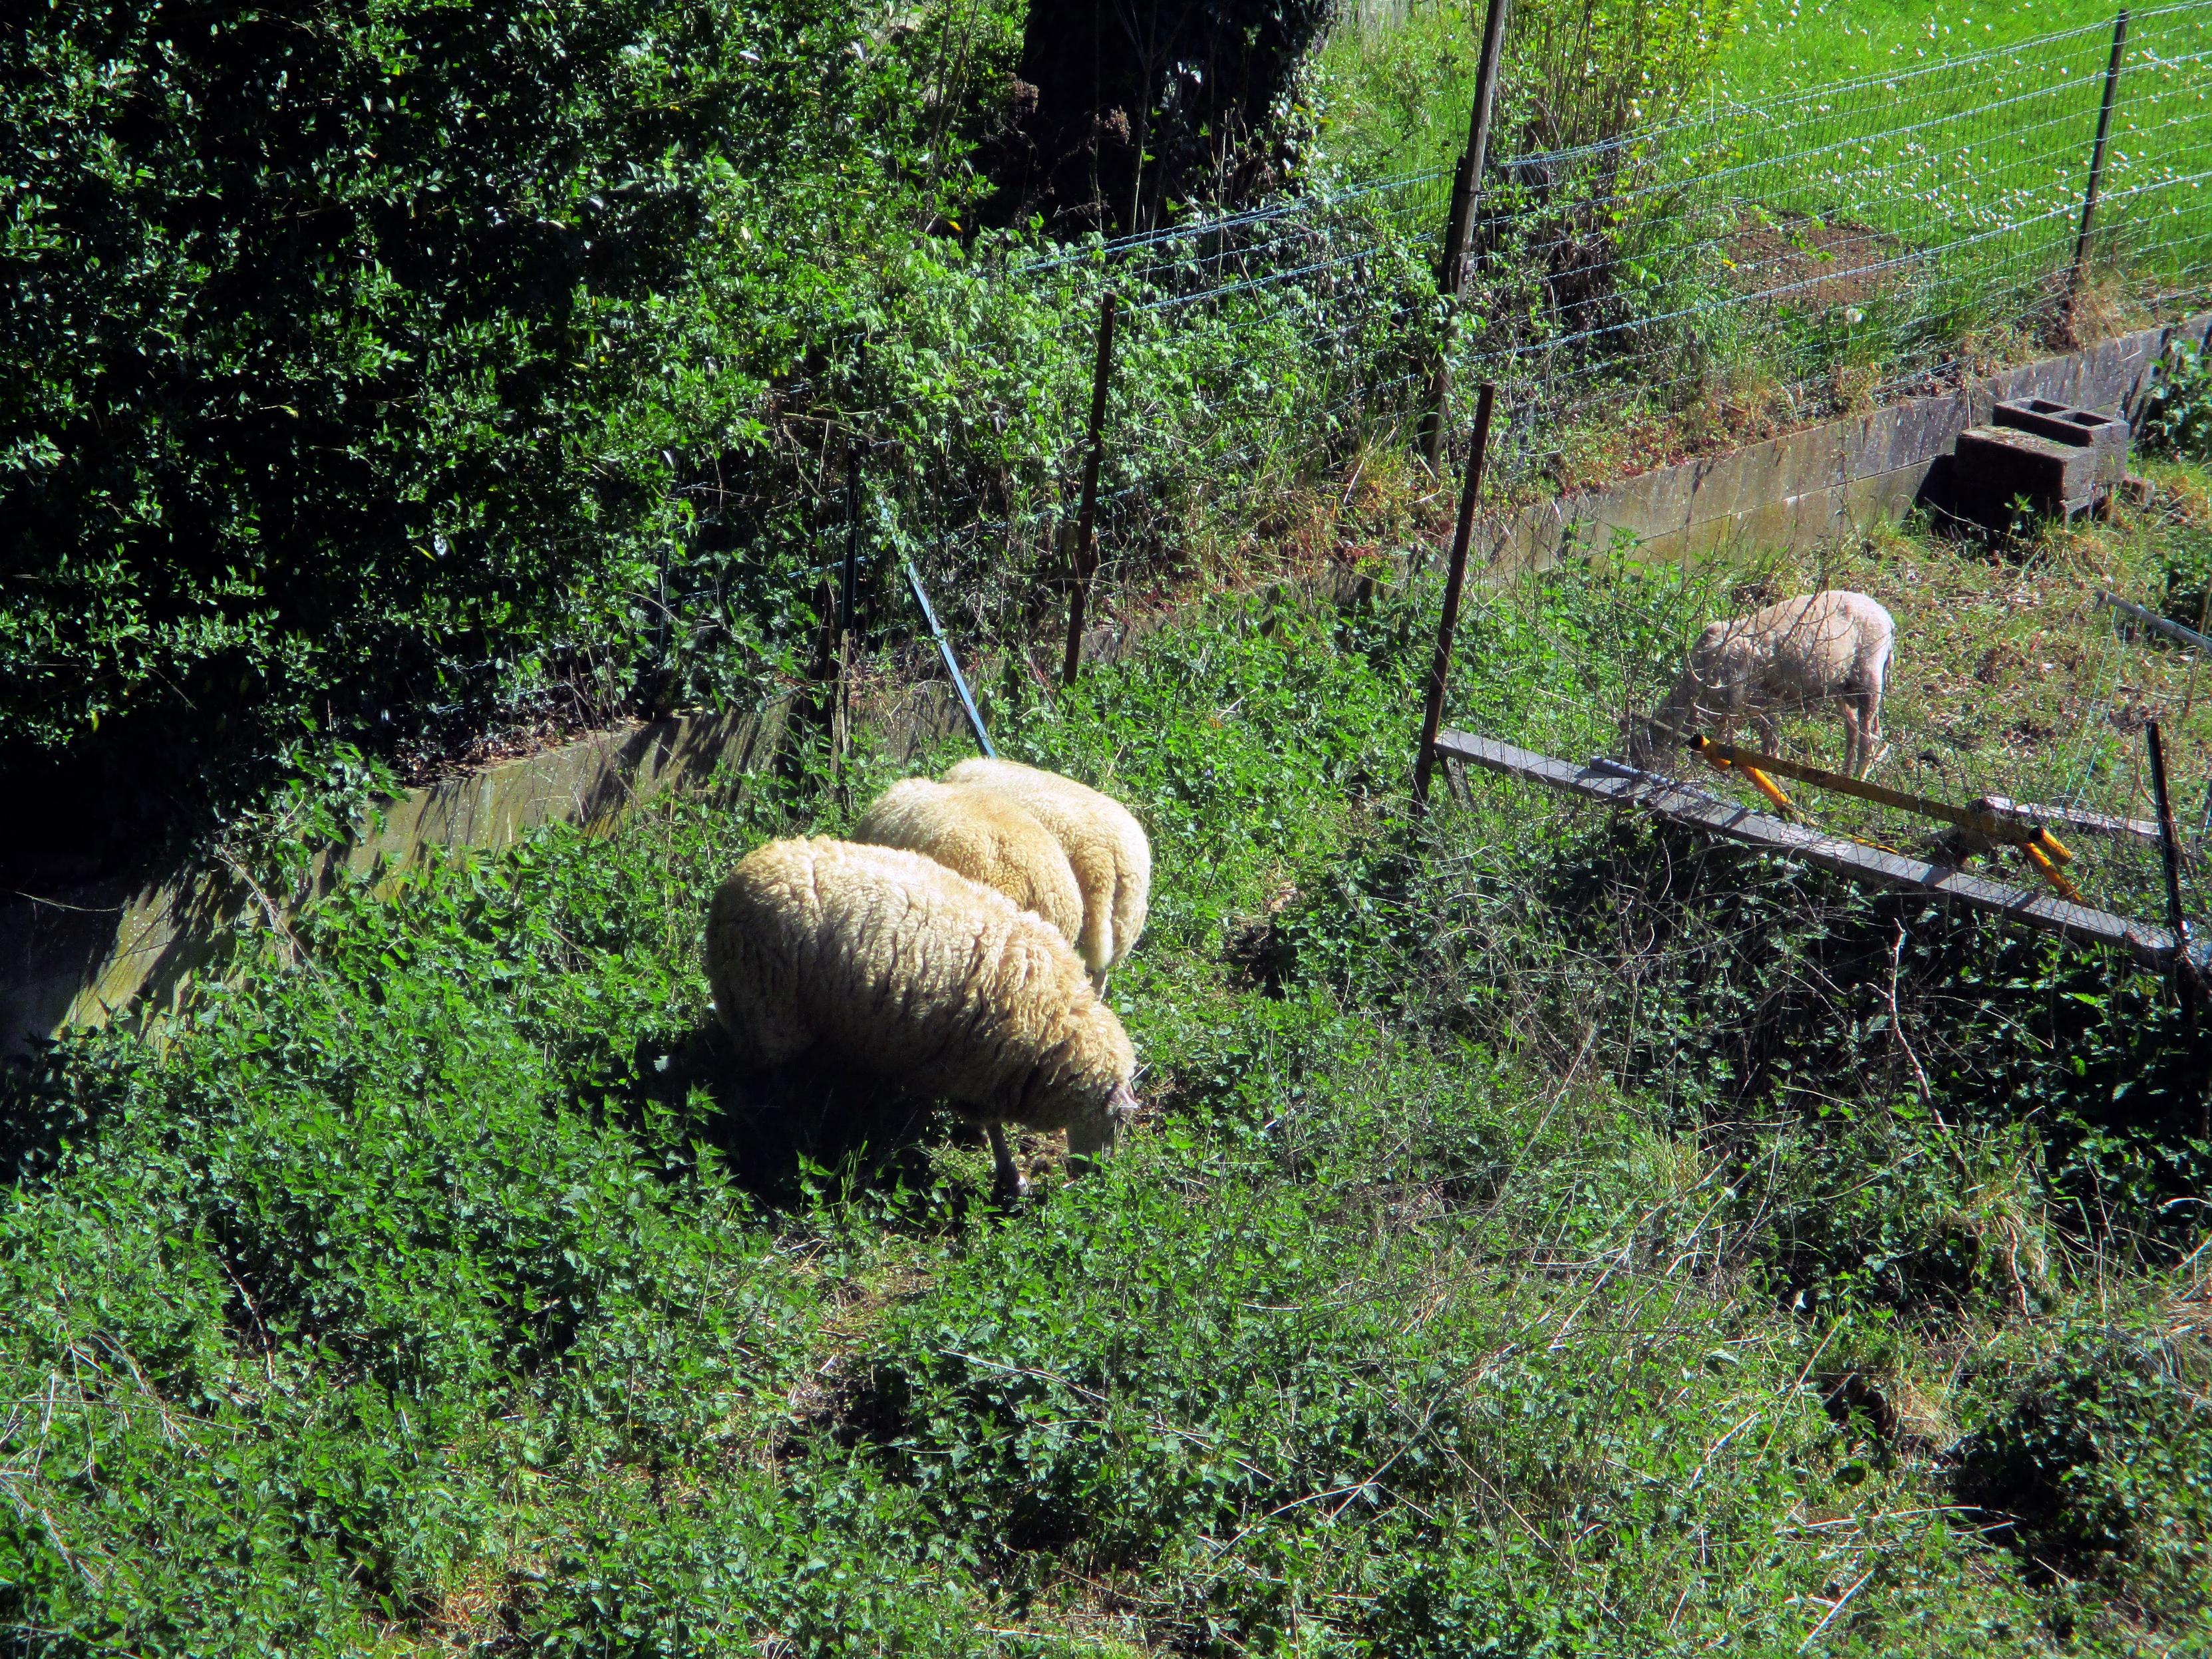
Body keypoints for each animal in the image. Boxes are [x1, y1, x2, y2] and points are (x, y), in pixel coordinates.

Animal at [704, 836, 1138, 1198]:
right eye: (1117, 1123)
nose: (1096, 1175)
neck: (1058, 1023)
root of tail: (732, 887)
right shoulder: (976, 1069)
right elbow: (991, 1125)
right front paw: (1009, 1177)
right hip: (768, 1012)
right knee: (756, 1088)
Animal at [1629, 590, 1895, 779]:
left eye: (1642, 750)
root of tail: (1888, 619)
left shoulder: (1752, 700)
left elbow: (1761, 740)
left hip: (1869, 678)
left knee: (1869, 737)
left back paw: (1856, 779)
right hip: (1841, 687)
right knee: (1854, 730)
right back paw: (1845, 775)